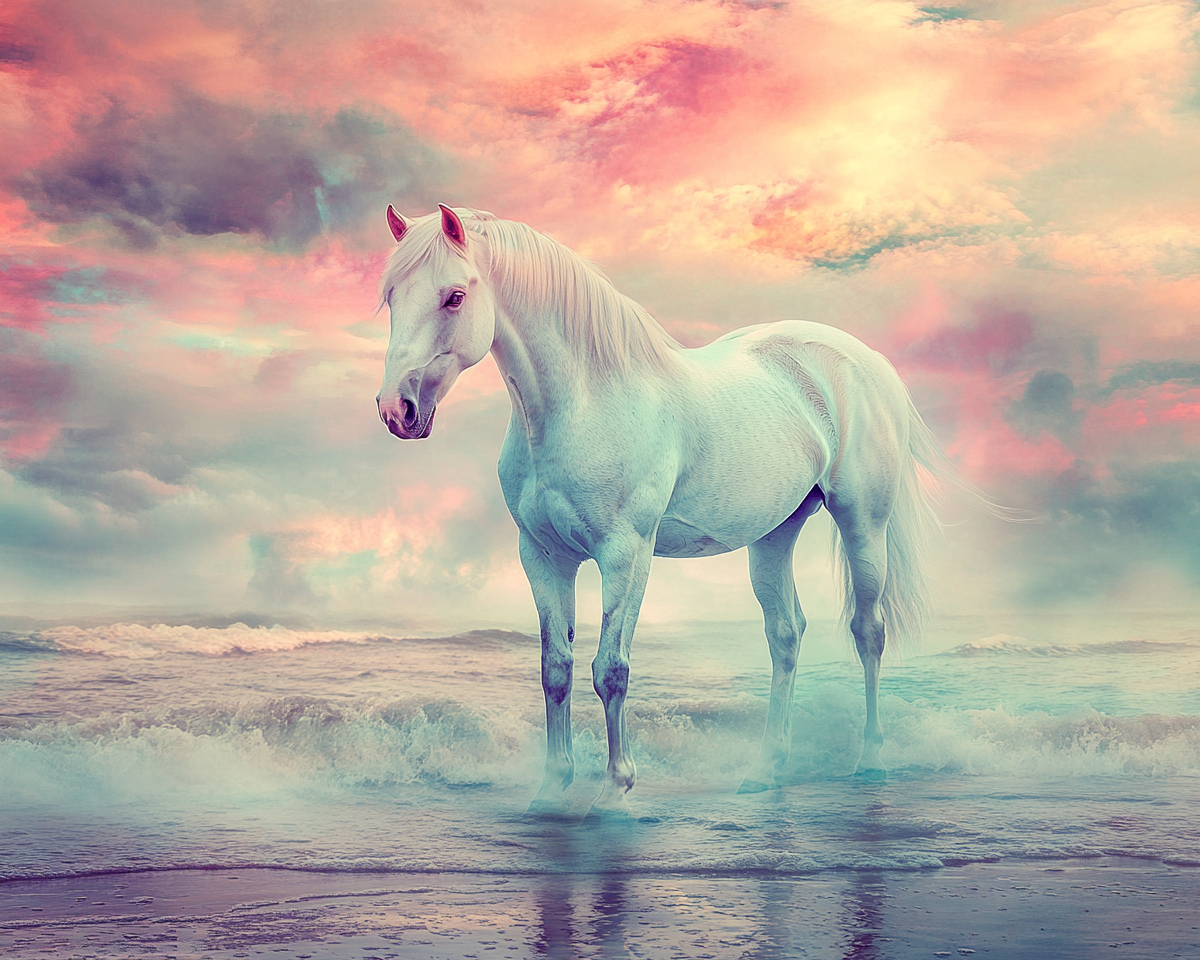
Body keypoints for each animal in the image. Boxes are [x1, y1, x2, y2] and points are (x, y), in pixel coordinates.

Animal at [381, 206, 955, 816]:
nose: (398, 410)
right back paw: (765, 771)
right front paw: (551, 788)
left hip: (863, 525)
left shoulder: (626, 554)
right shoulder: (542, 557)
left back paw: (870, 761)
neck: (585, 403)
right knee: (785, 634)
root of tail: (868, 360)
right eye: (391, 296)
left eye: (454, 296)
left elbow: (610, 670)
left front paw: (614, 791)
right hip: (774, 534)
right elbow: (555, 670)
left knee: (868, 631)